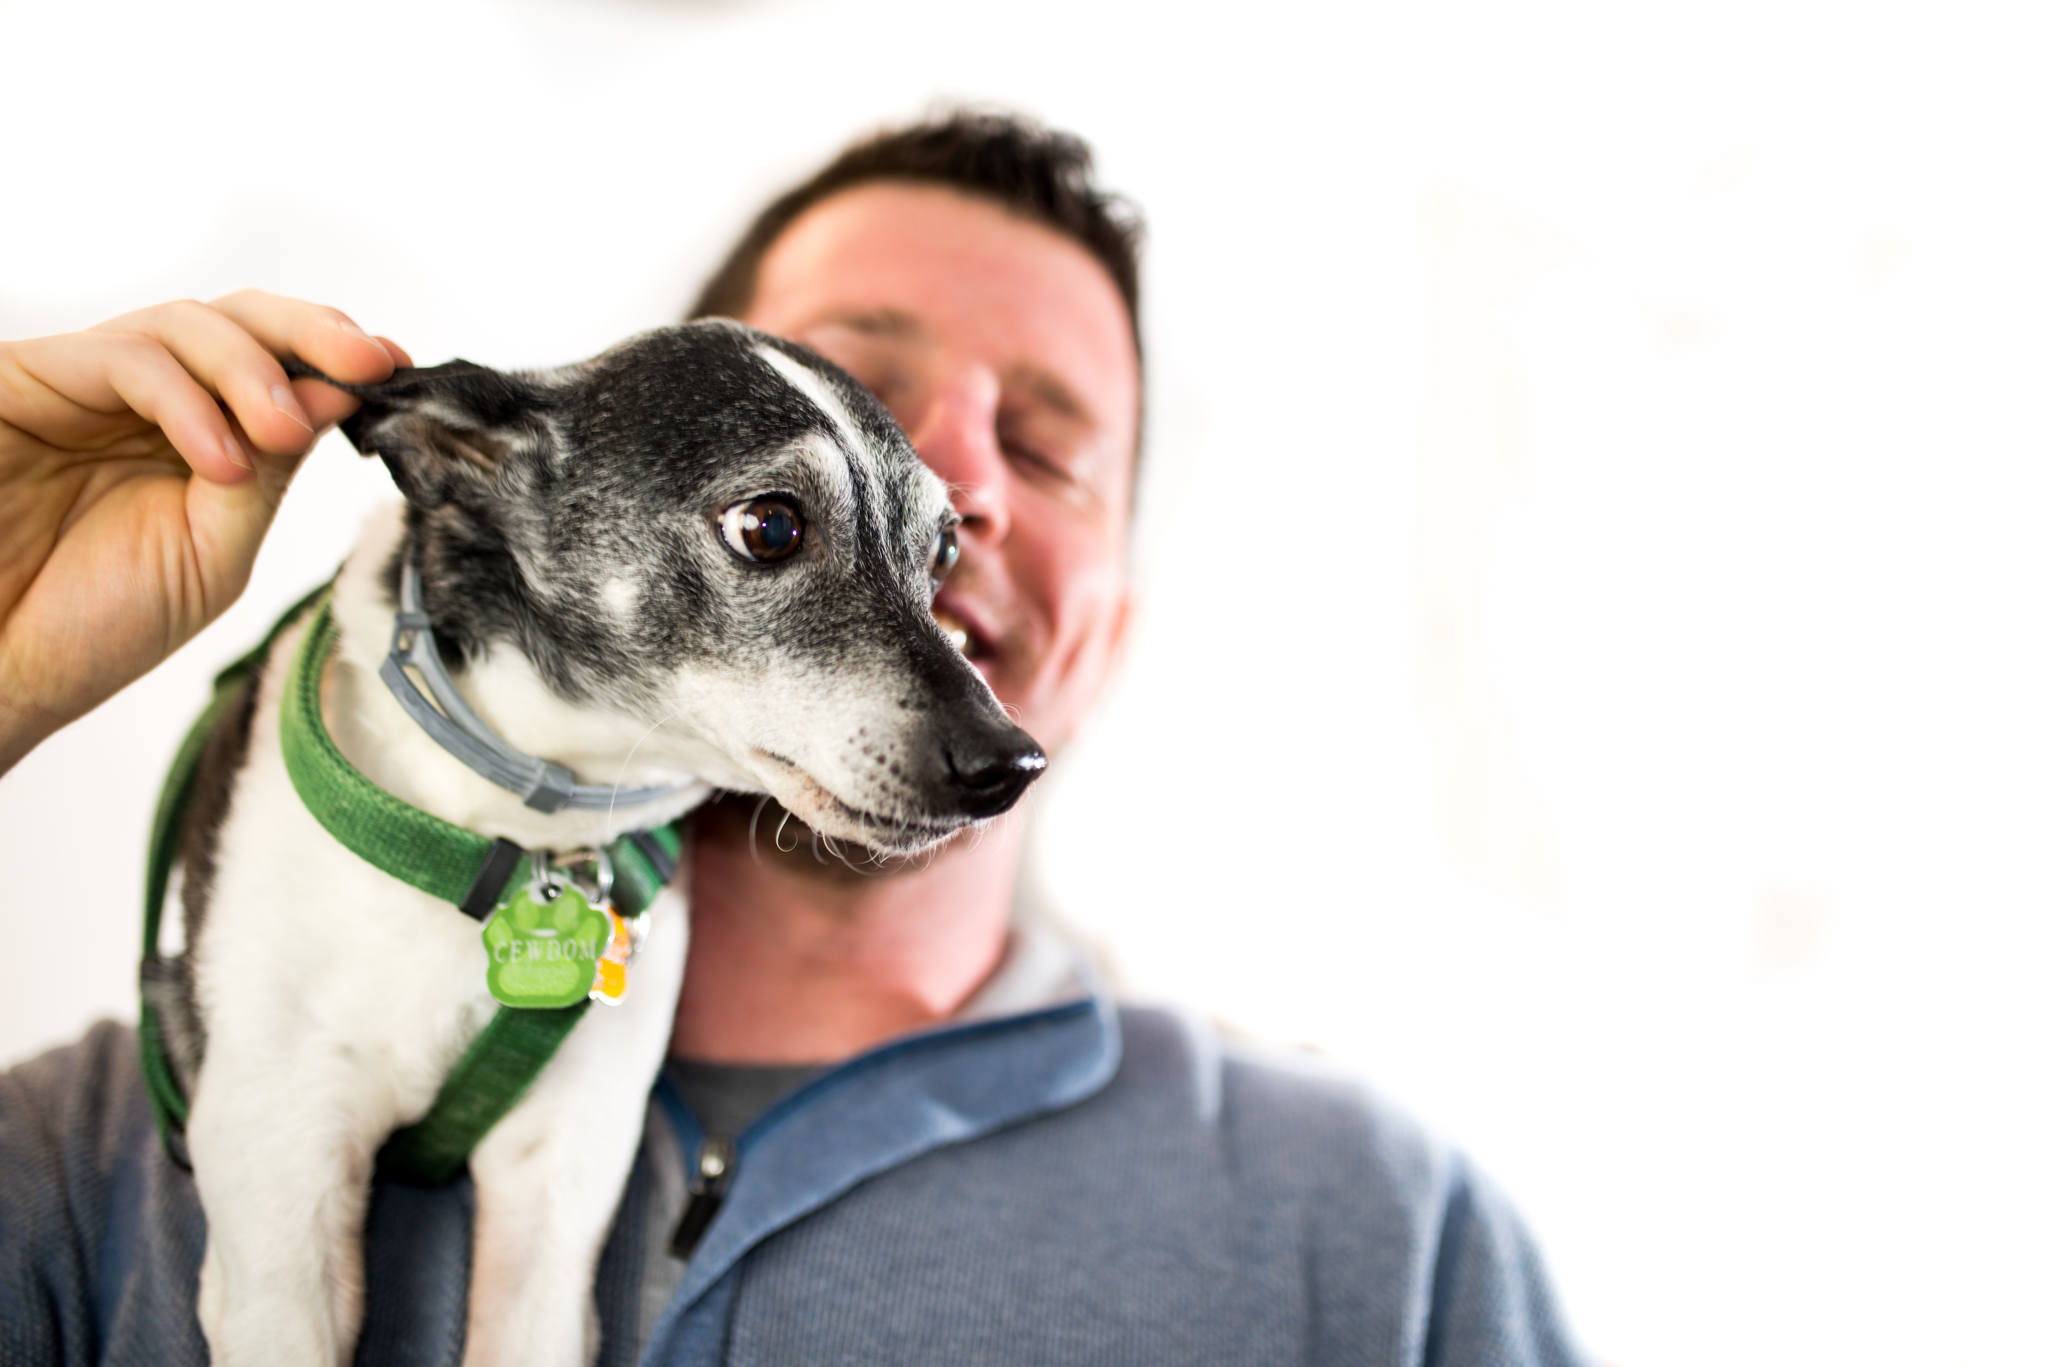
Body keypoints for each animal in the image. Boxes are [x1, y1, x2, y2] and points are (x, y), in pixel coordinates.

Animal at [144, 315, 1048, 1360]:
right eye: (771, 526)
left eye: (943, 553)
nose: (1012, 762)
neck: (520, 835)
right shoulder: (281, 1200)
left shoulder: (555, 1193)